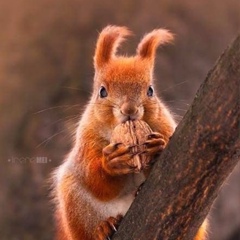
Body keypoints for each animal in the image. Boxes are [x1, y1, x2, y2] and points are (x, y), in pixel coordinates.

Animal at [53, 25, 207, 239]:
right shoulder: (87, 141)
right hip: (75, 202)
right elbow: (96, 181)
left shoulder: (166, 127)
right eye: (102, 91)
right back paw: (103, 227)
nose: (129, 110)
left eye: (150, 90)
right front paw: (112, 162)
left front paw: (157, 148)